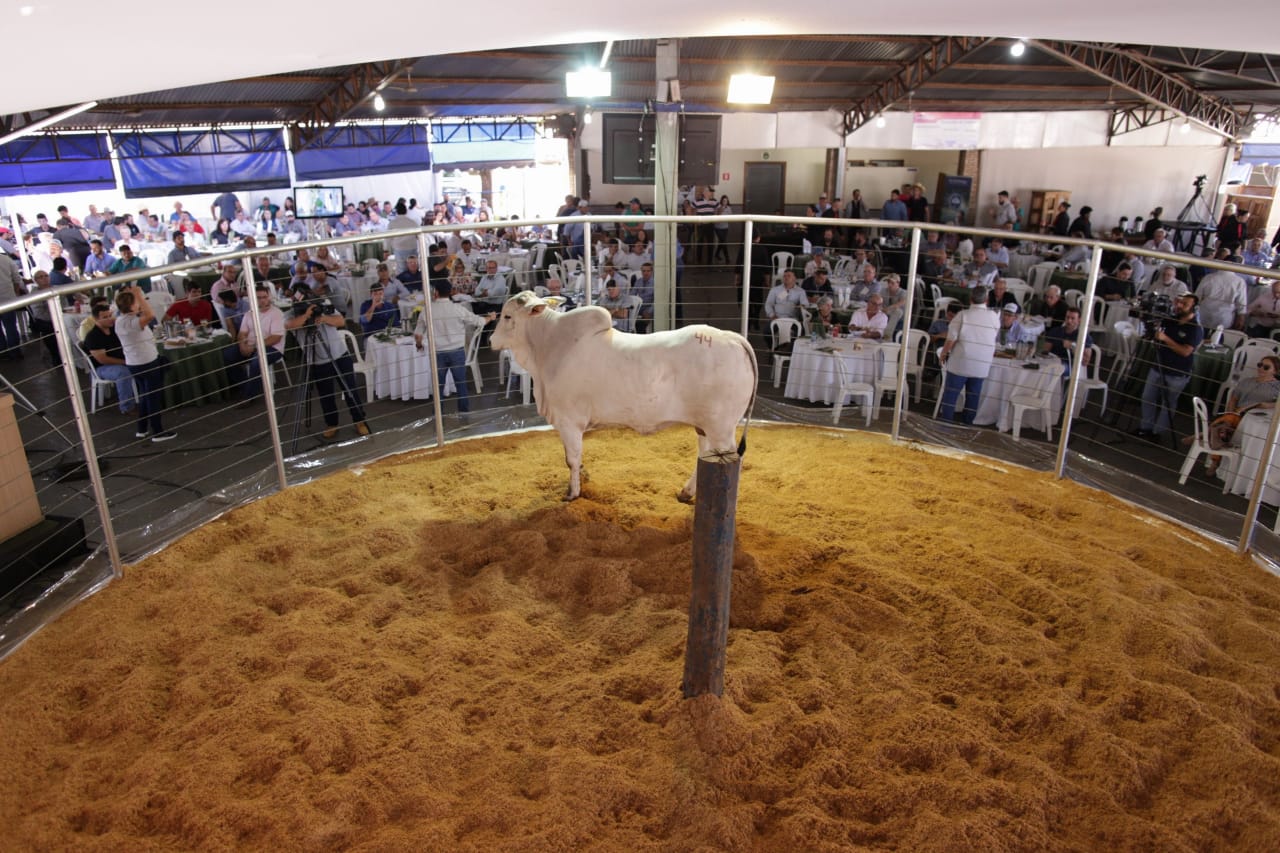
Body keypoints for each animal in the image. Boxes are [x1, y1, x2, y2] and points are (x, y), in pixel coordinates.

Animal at [486, 292, 752, 502]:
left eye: (507, 316)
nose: (490, 340)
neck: (547, 347)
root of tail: (733, 337)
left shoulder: (569, 421)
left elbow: (571, 459)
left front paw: (572, 493)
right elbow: (577, 459)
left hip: (721, 428)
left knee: (732, 461)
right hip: (704, 425)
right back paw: (686, 493)